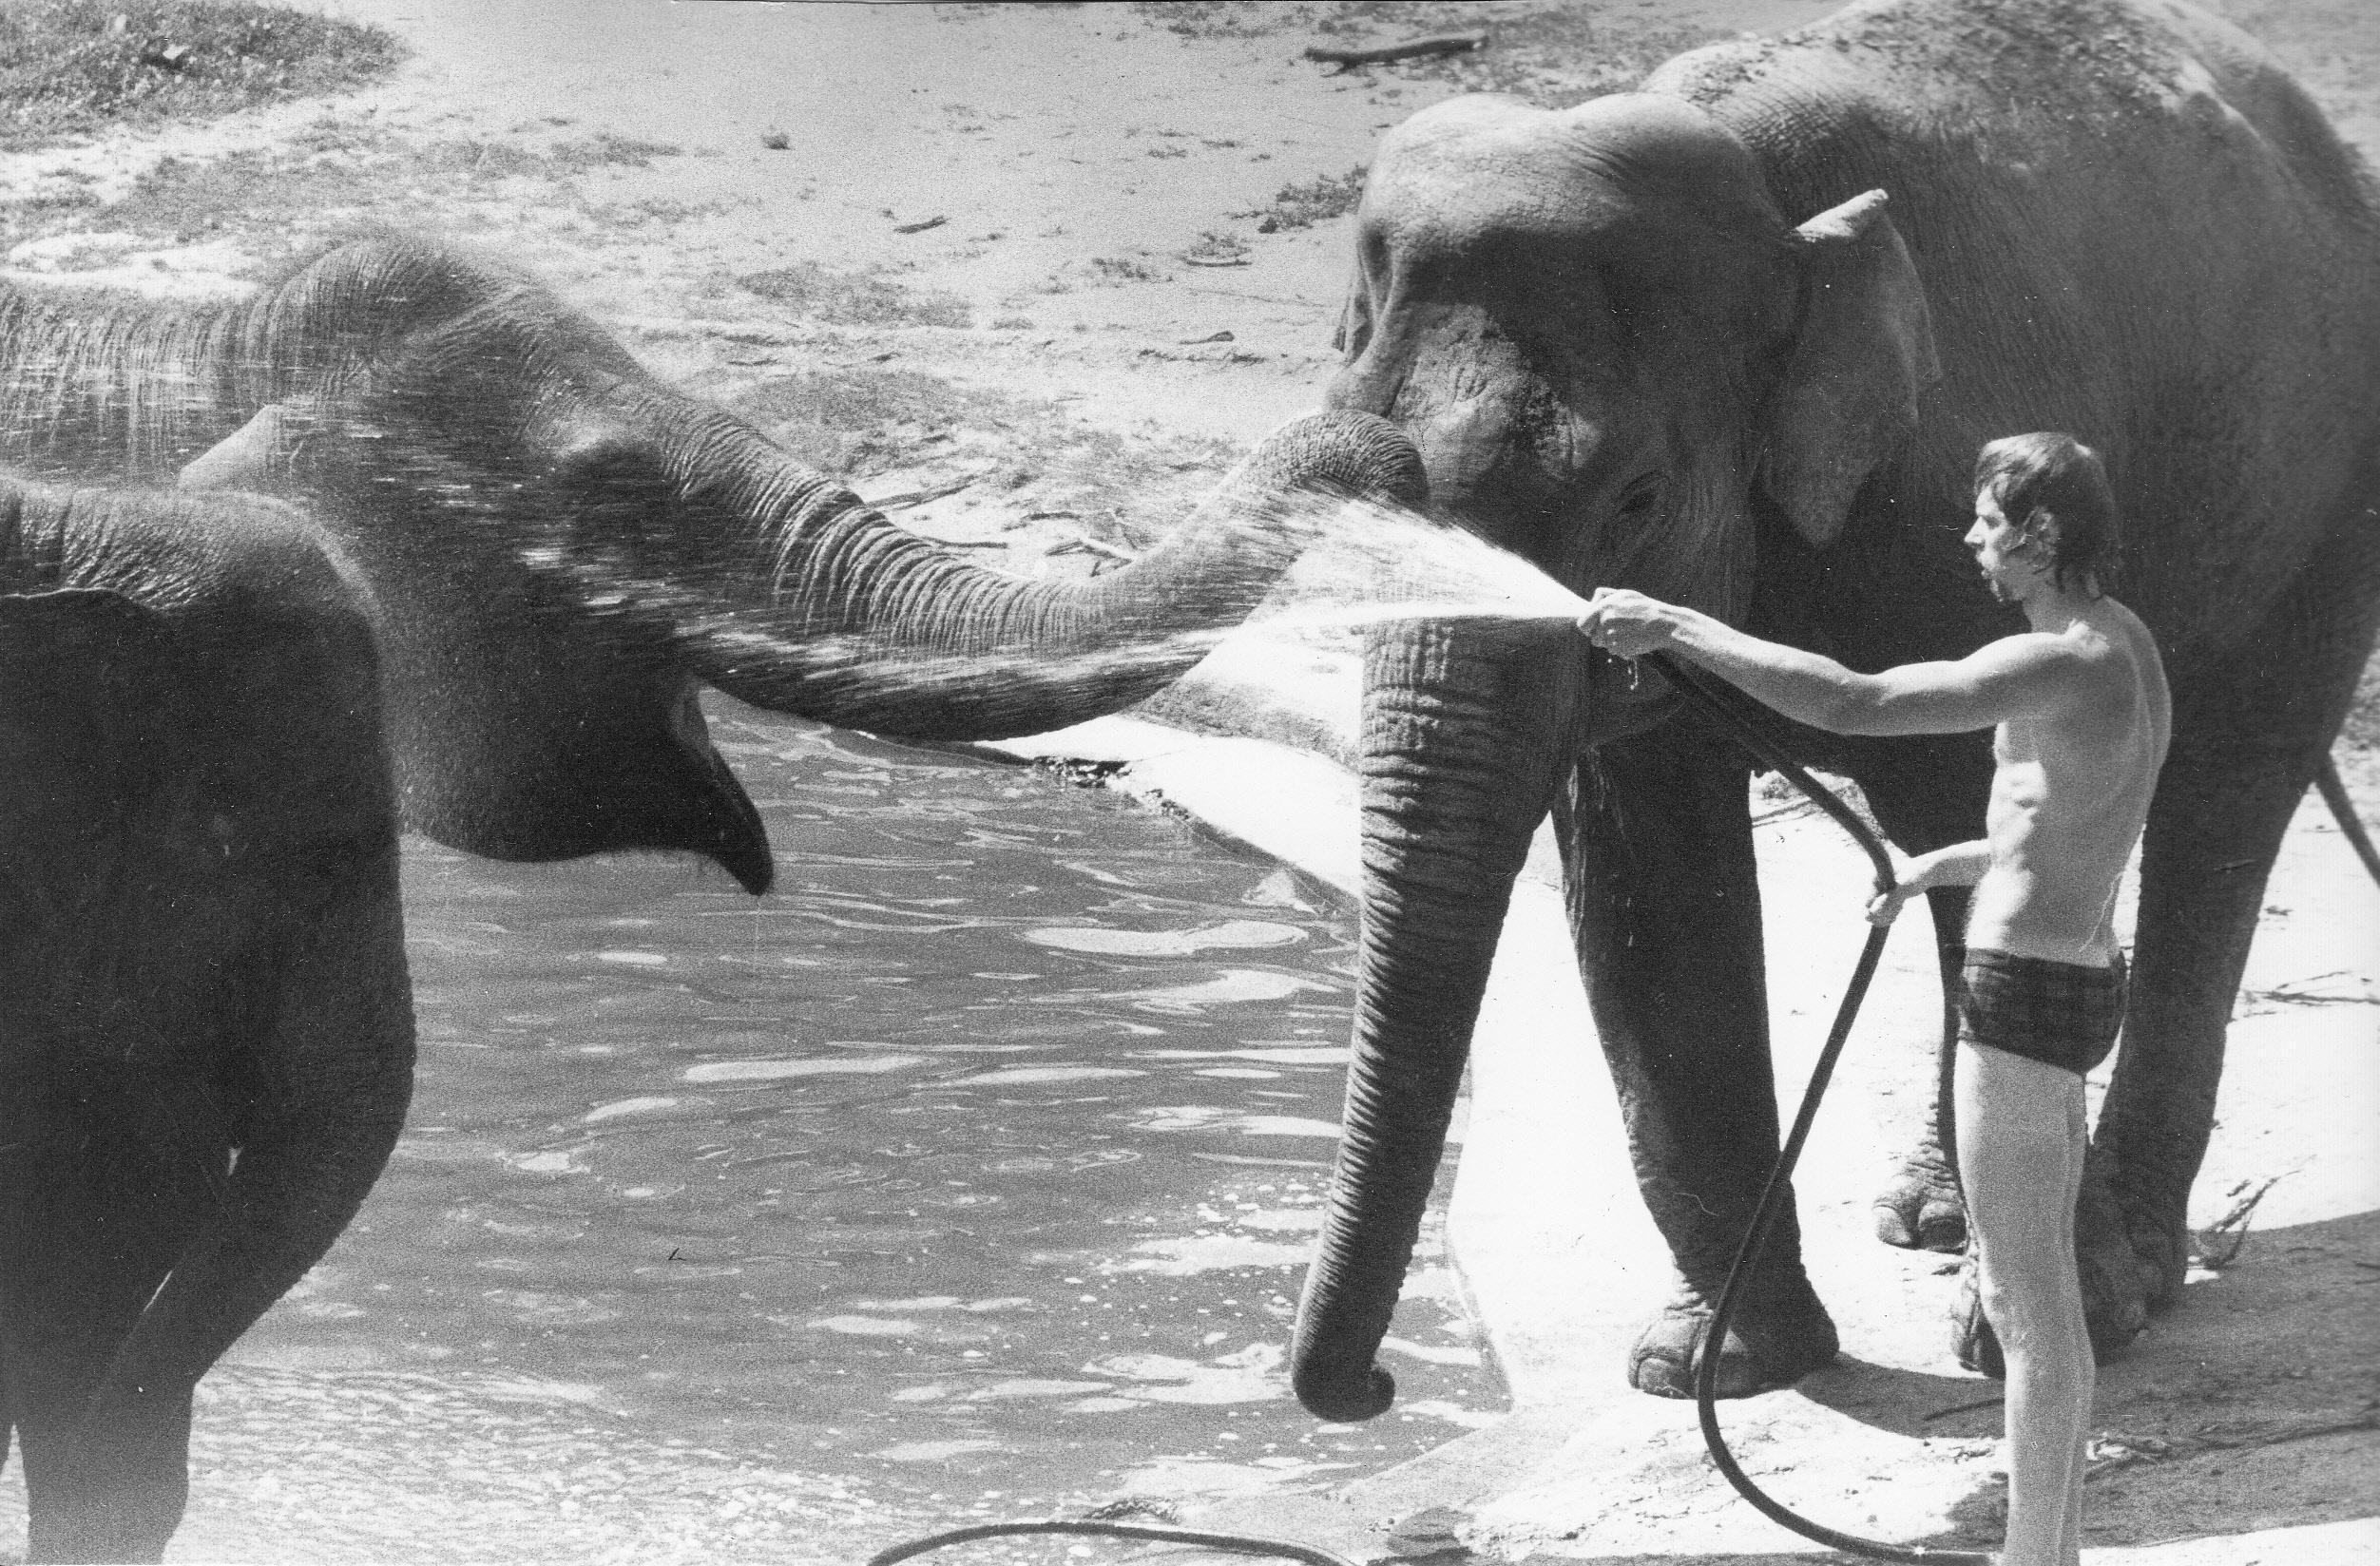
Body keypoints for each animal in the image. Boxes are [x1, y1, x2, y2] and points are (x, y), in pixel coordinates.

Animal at [1287, 0, 2380, 1418]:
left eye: (1633, 498)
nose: (1373, 1389)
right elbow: (1647, 876)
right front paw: (1719, 1366)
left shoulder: (1939, 504)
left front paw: (2033, 1334)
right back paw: (1929, 1215)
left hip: (2327, 496)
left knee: (2224, 797)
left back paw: (2124, 1271)